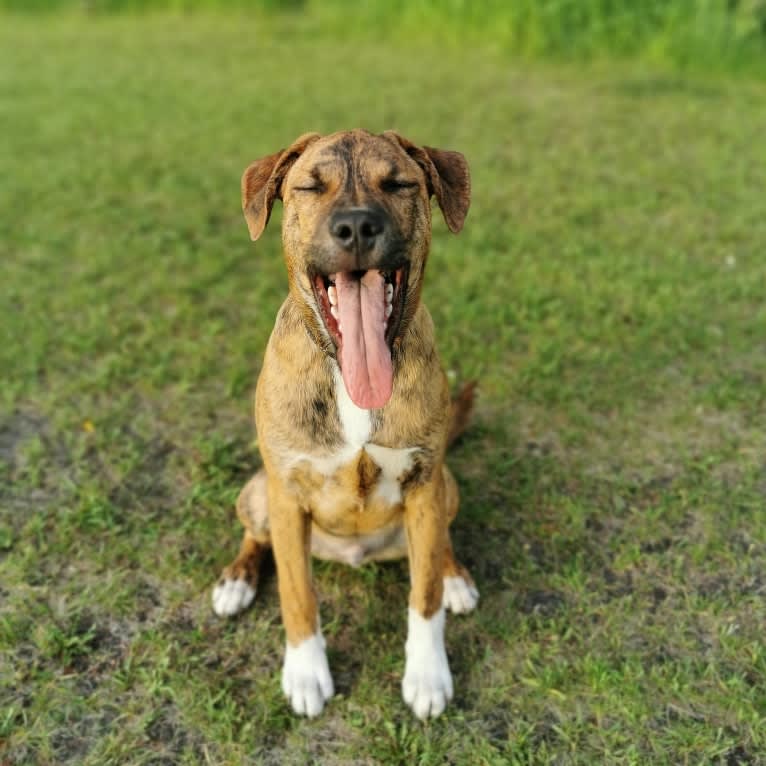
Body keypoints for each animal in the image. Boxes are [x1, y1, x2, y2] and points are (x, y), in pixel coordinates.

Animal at [213, 129, 480, 724]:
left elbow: (424, 595)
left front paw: (427, 675)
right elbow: (297, 594)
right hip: (258, 491)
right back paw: (236, 581)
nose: (356, 227)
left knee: (440, 546)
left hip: (446, 486)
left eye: (399, 184)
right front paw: (306, 673)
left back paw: (455, 575)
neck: (347, 377)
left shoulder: (424, 484)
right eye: (311, 186)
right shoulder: (287, 495)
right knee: (255, 535)